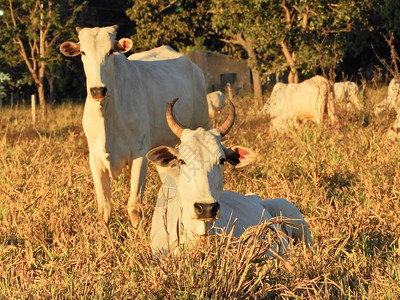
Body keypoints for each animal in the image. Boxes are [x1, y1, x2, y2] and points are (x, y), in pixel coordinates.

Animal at [60, 25, 209, 227]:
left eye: (110, 51)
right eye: (83, 52)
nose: (98, 90)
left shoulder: (140, 155)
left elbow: (134, 207)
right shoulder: (95, 158)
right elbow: (104, 208)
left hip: (203, 124)